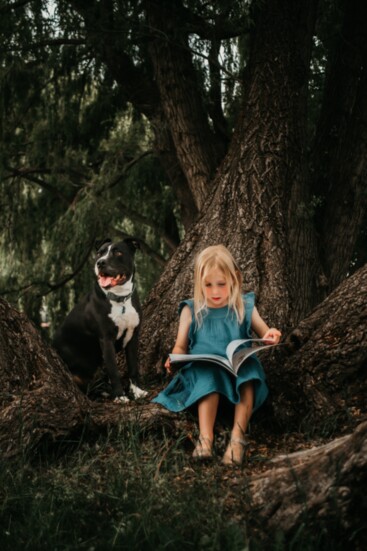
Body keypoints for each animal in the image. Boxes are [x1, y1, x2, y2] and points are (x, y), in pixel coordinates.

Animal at [53, 239, 148, 404]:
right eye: (99, 253)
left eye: (118, 252)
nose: (100, 263)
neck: (120, 299)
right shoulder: (106, 340)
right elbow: (114, 371)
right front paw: (120, 396)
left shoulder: (133, 336)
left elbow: (133, 366)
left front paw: (137, 391)